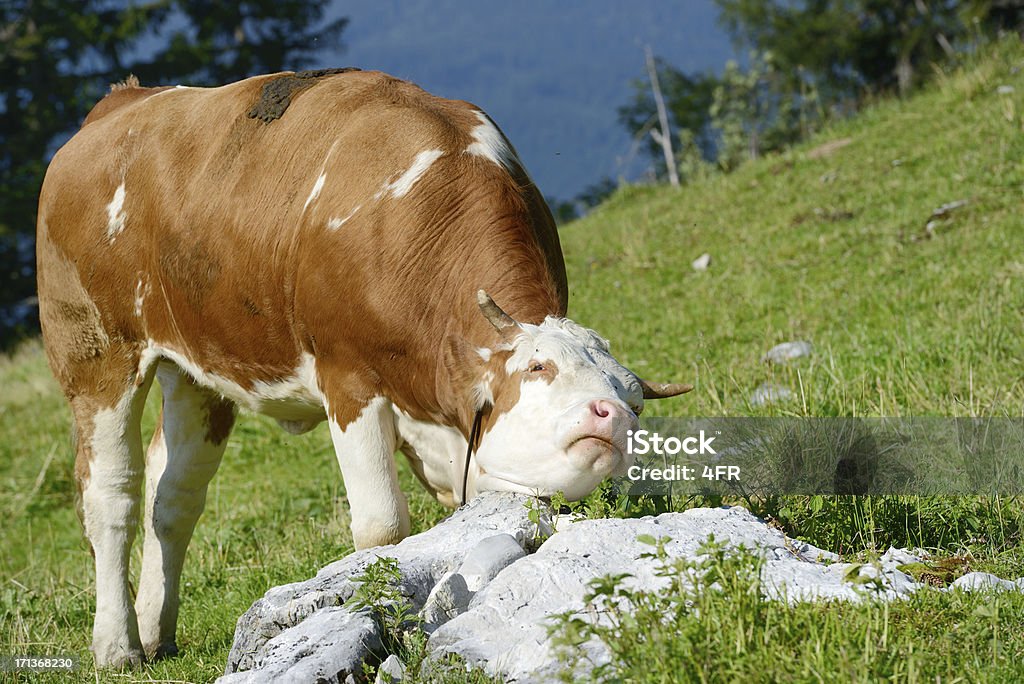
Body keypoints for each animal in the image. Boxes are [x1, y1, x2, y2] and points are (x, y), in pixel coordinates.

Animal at [36, 69, 692, 667]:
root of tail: (123, 102)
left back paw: (155, 632)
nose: (610, 418)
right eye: (537, 367)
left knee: (172, 495)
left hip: (196, 369)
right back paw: (117, 647)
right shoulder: (348, 379)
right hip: (96, 355)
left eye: (634, 399)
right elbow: (382, 528)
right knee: (112, 495)